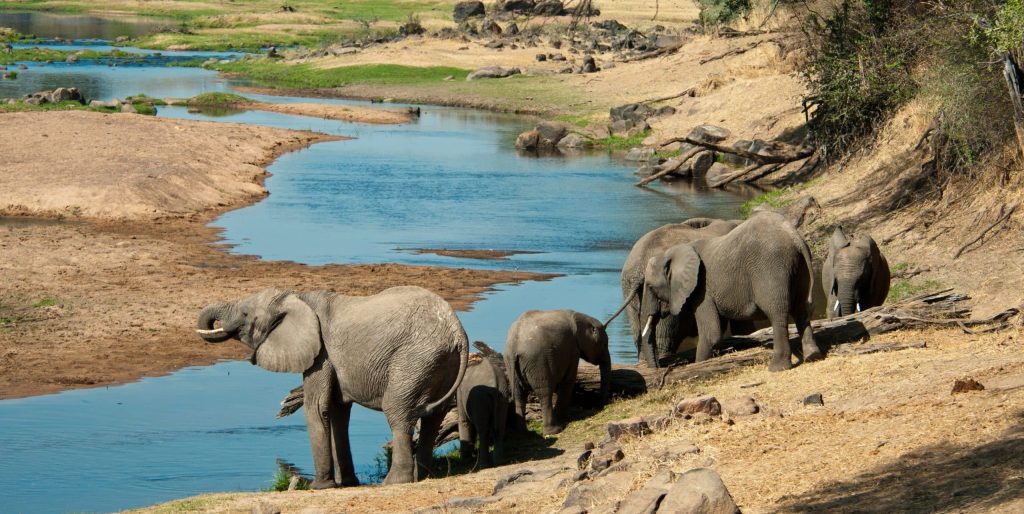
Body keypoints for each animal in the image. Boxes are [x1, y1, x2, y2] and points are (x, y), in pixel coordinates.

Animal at [195, 286, 468, 487]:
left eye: (245, 315)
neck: (297, 297)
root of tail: (457, 332)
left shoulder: (321, 354)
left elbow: (317, 408)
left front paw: (320, 487)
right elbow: (338, 411)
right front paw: (346, 483)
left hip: (414, 359)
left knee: (398, 412)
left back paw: (394, 482)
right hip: (438, 363)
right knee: (433, 418)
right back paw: (422, 477)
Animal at [457, 341, 511, 470]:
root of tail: (496, 382)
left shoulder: (460, 392)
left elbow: (464, 421)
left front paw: (465, 460)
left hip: (480, 398)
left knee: (483, 430)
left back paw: (483, 465)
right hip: (503, 394)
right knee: (500, 426)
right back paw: (499, 462)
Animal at [641, 211, 822, 371]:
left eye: (650, 286)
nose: (659, 368)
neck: (673, 252)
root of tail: (794, 236)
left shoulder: (702, 290)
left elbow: (711, 333)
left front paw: (698, 364)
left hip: (771, 267)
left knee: (777, 313)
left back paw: (777, 368)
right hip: (800, 267)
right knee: (802, 310)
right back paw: (812, 356)